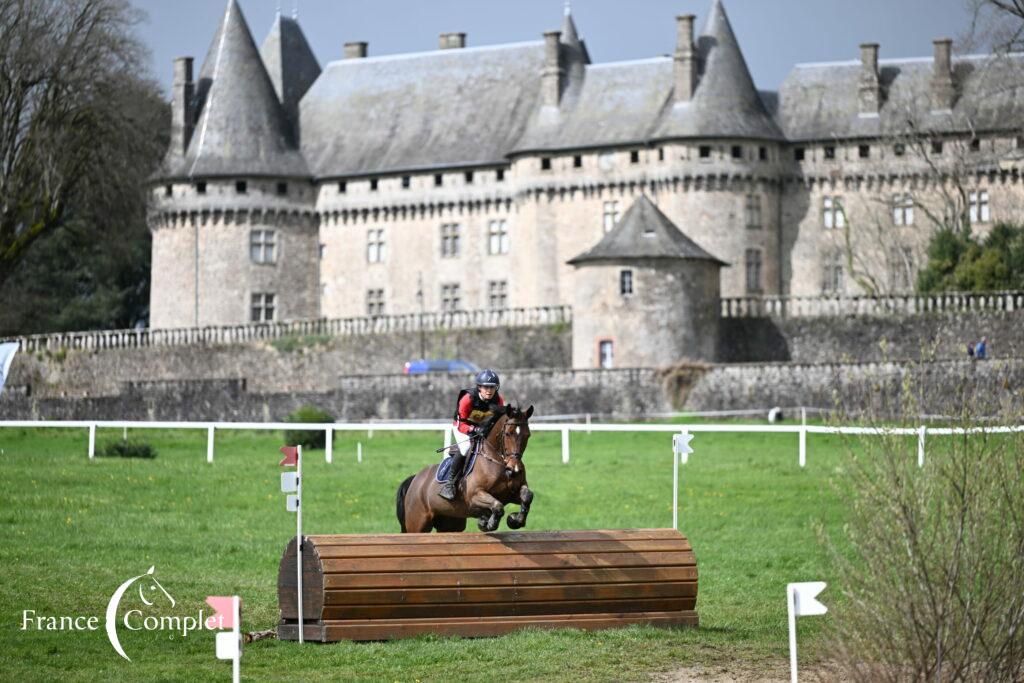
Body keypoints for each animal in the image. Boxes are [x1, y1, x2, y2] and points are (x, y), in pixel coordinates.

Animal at [393, 405, 536, 532]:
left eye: (527, 435)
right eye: (507, 433)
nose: (514, 469)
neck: (500, 462)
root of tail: (414, 480)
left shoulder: (511, 494)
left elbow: (527, 496)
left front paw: (514, 520)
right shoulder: (474, 496)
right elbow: (497, 506)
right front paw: (487, 524)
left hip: (450, 523)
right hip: (417, 523)